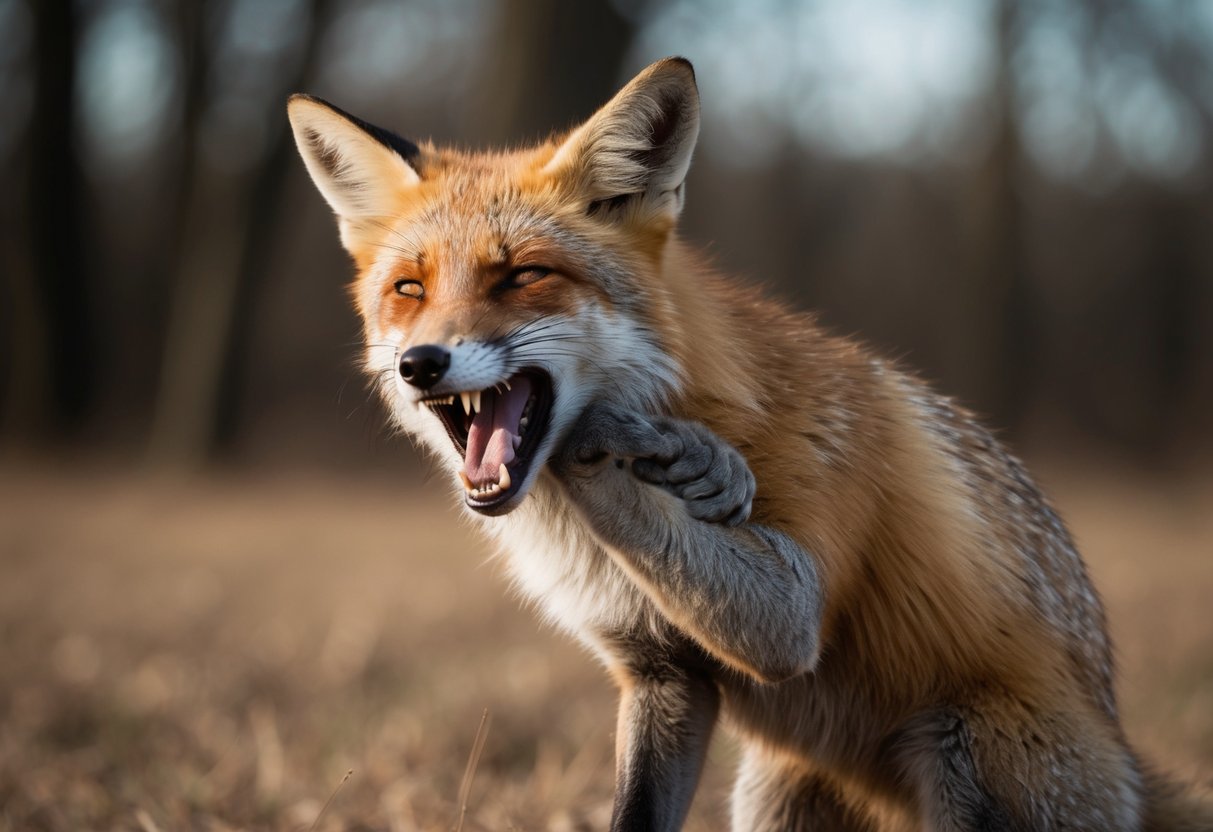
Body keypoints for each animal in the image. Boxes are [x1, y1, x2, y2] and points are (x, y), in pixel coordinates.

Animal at [287, 58, 1211, 831]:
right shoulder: (663, 673)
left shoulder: (791, 599)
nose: (420, 364)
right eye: (409, 289)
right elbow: (633, 812)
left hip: (963, 754)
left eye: (522, 276)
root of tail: (1125, 759)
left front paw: (674, 451)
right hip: (775, 794)